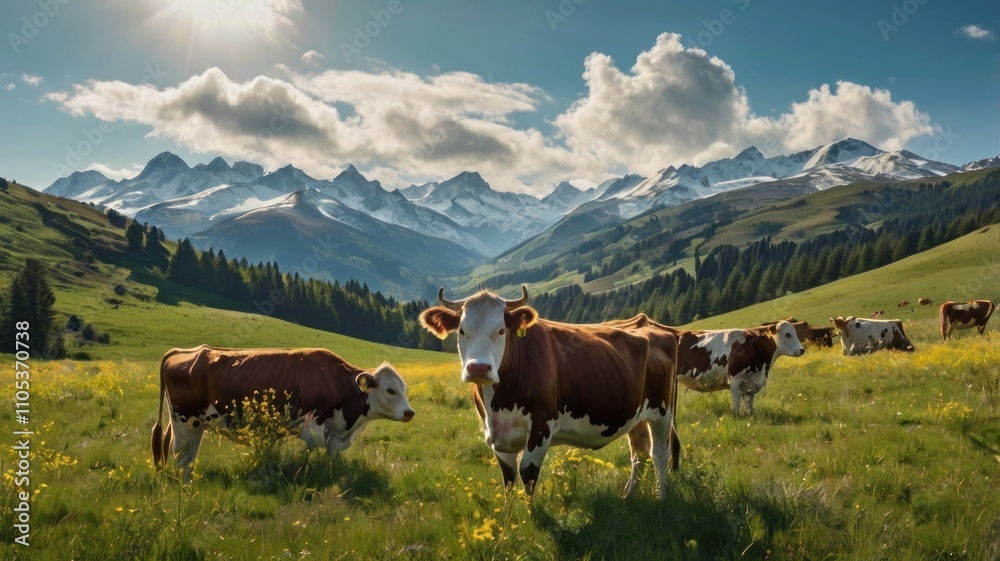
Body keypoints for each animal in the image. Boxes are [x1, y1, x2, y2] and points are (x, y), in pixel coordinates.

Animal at [151, 345, 415, 481]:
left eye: (404, 388)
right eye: (390, 390)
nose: (409, 412)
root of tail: (189, 351)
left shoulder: (335, 434)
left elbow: (331, 454)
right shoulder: (313, 424)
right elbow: (313, 449)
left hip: (197, 425)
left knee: (188, 455)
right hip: (183, 422)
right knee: (180, 454)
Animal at [419, 286, 680, 499]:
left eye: (502, 330)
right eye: (462, 331)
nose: (479, 368)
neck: (498, 404)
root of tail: (657, 328)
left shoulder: (541, 427)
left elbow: (528, 474)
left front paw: (531, 517)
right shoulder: (497, 435)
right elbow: (508, 478)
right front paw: (510, 518)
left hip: (662, 412)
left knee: (659, 454)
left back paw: (661, 498)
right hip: (635, 414)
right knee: (640, 453)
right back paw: (629, 496)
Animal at [613, 317, 805, 415]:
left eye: (795, 332)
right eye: (788, 334)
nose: (802, 349)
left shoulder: (751, 382)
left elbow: (749, 403)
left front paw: (750, 415)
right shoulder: (735, 379)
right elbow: (736, 404)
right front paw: (738, 417)